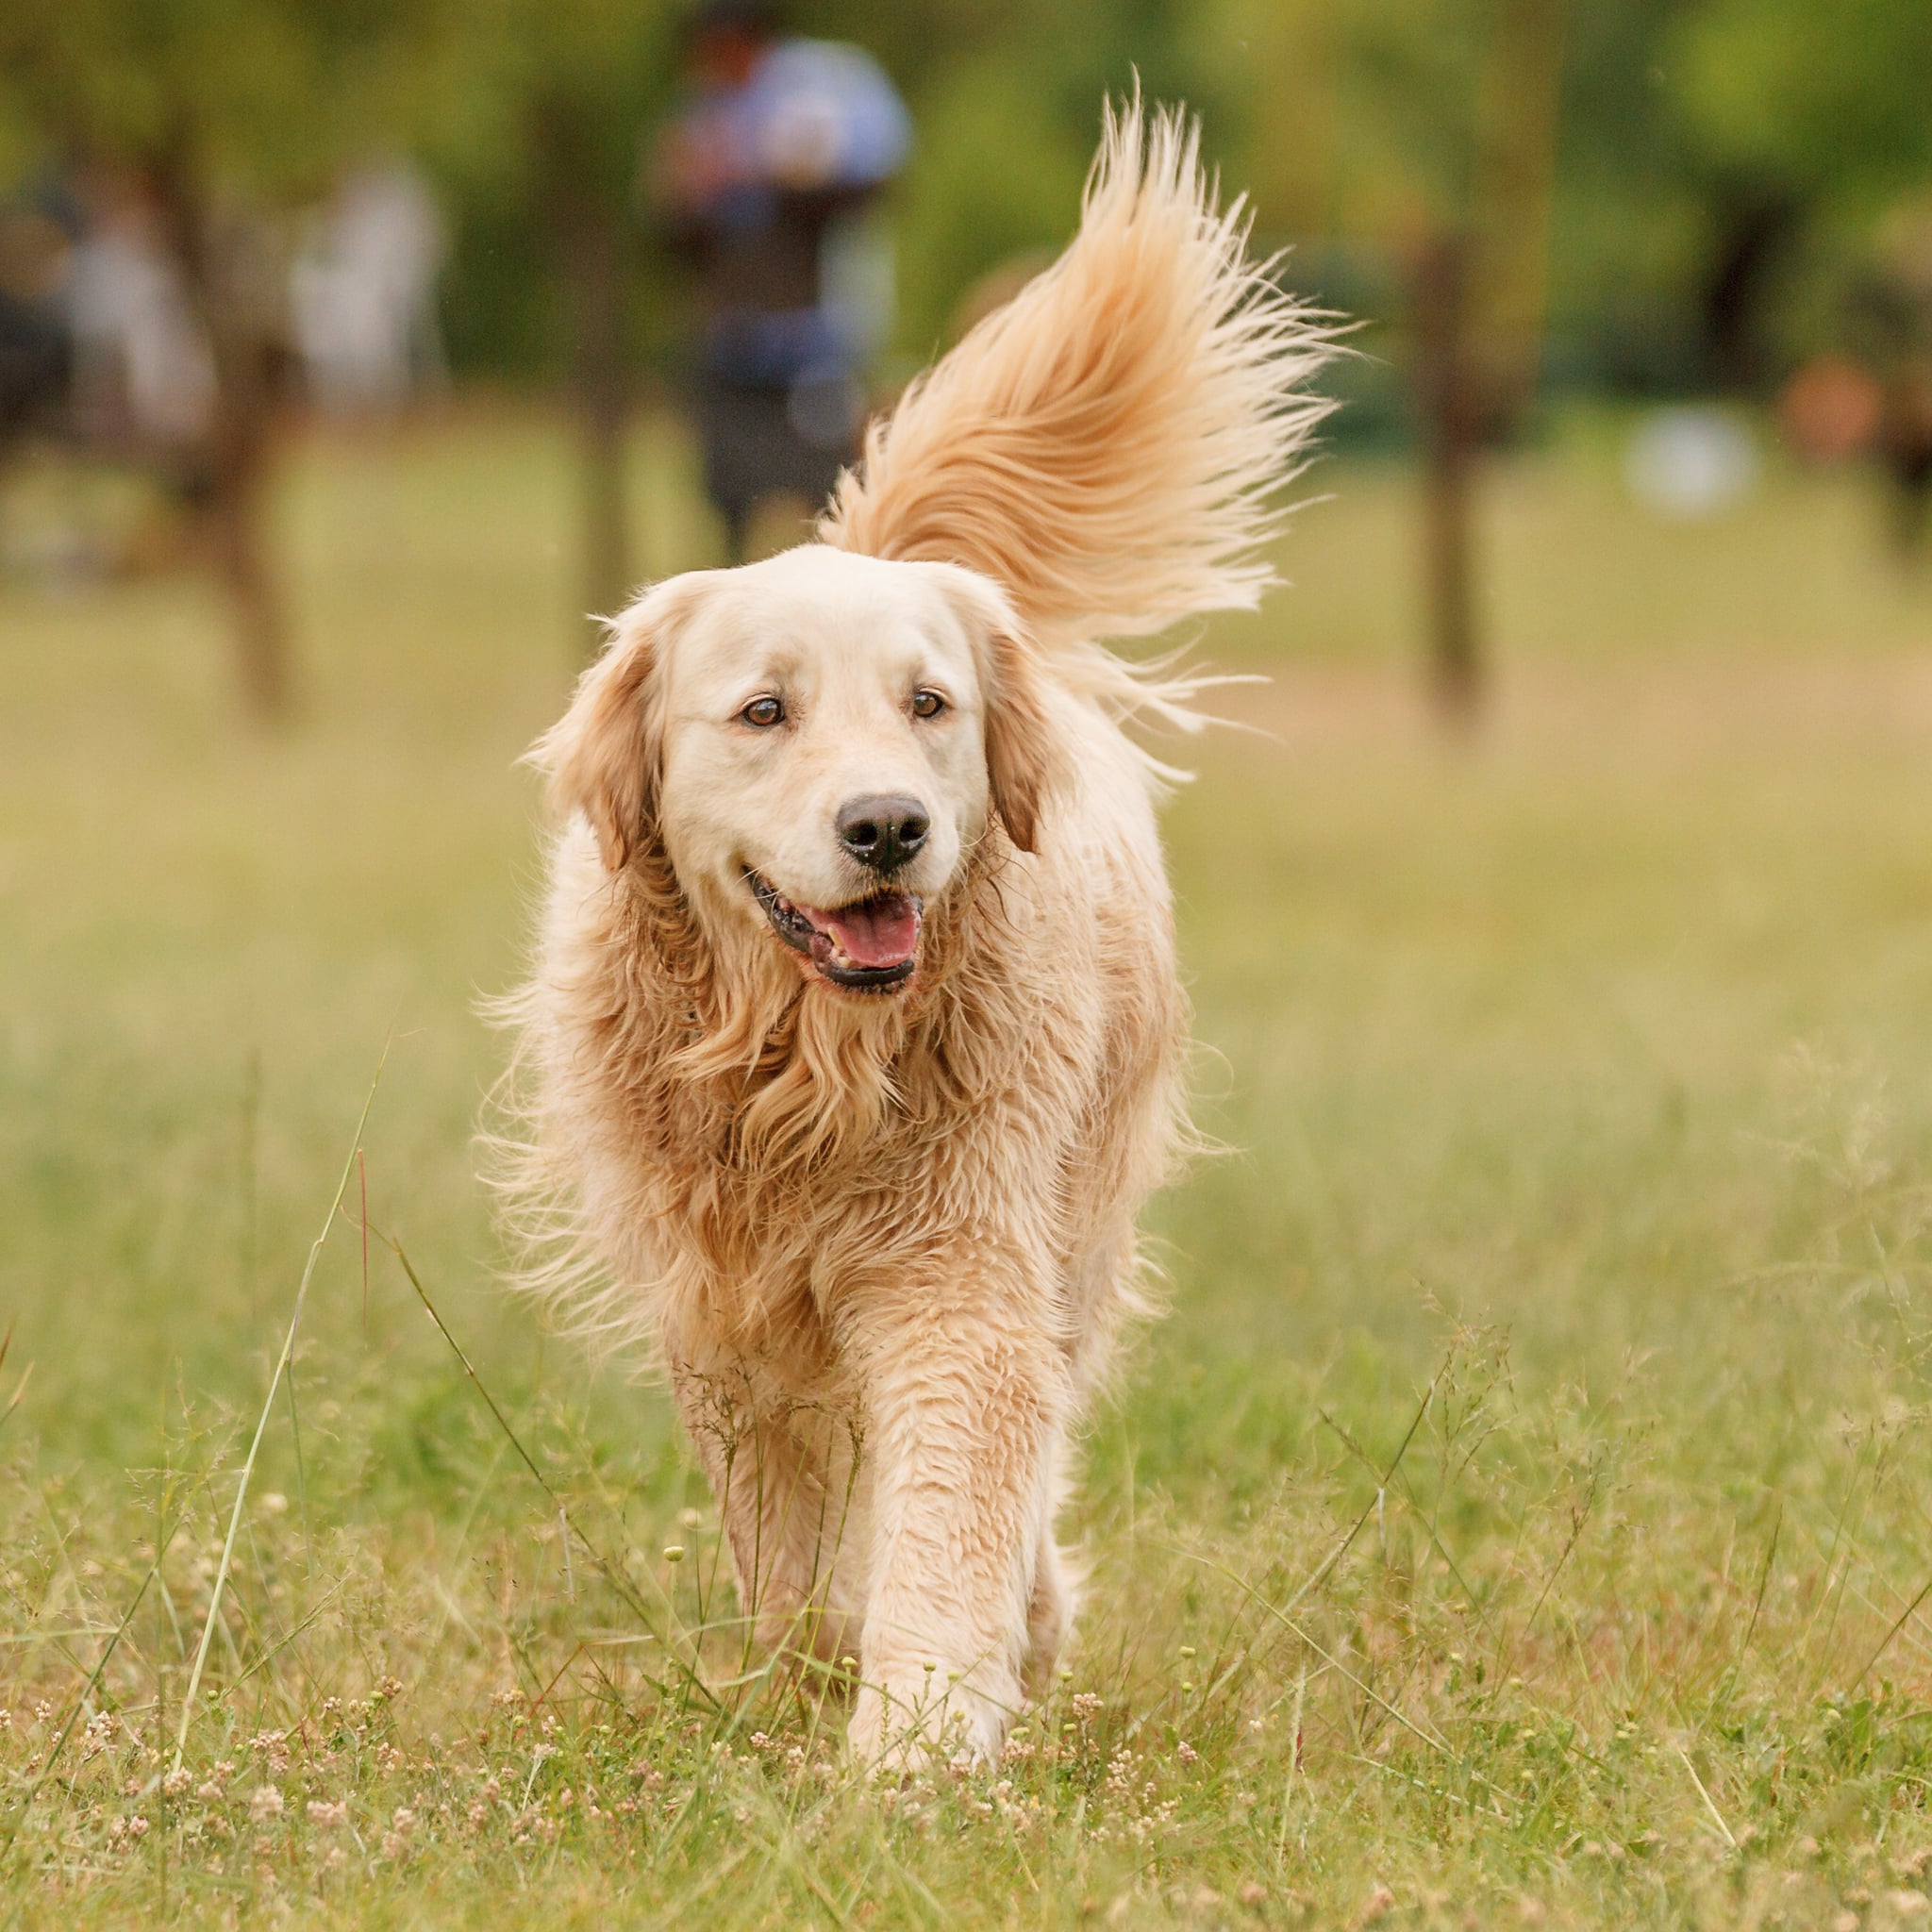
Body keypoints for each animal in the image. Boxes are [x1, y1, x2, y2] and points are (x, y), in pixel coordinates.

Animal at [494, 106, 1329, 1769]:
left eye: (929, 704)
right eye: (764, 710)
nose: (887, 827)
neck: (803, 1062)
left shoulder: (960, 1268)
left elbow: (952, 1506)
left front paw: (921, 1744)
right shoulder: (724, 1307)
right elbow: (795, 1551)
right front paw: (830, 1689)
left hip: (1081, 1214)